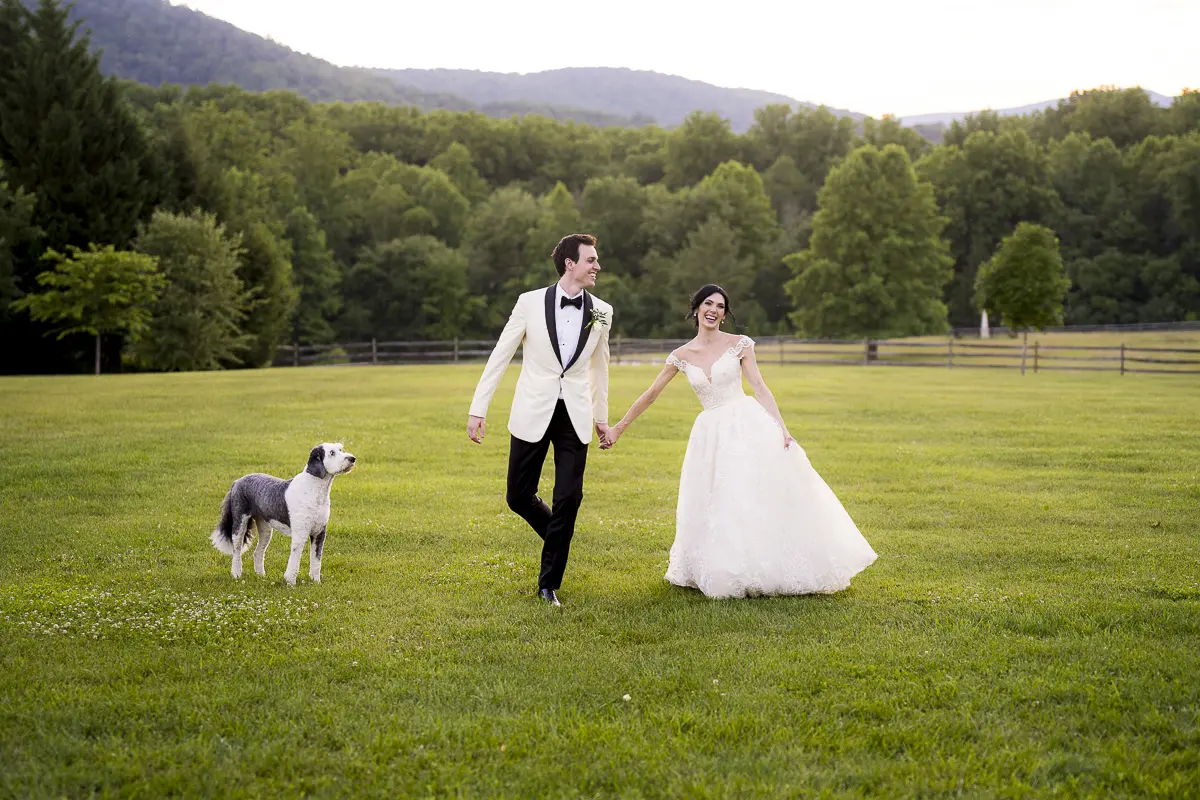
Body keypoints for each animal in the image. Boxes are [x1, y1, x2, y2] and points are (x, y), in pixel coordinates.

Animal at [211, 443, 352, 582]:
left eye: (341, 449)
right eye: (332, 453)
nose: (352, 458)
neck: (314, 489)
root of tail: (236, 482)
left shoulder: (319, 532)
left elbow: (316, 560)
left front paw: (316, 582)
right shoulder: (300, 534)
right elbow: (295, 560)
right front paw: (290, 582)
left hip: (265, 528)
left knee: (258, 552)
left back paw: (261, 576)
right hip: (239, 522)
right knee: (237, 550)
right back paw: (236, 574)